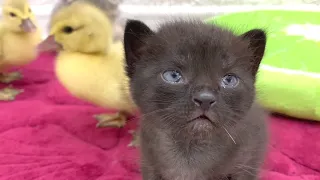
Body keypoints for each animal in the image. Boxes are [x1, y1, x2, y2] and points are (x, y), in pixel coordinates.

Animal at [124, 18, 268, 180]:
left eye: (229, 80)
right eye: (173, 75)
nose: (205, 99)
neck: (189, 151)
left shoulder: (246, 164)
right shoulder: (149, 165)